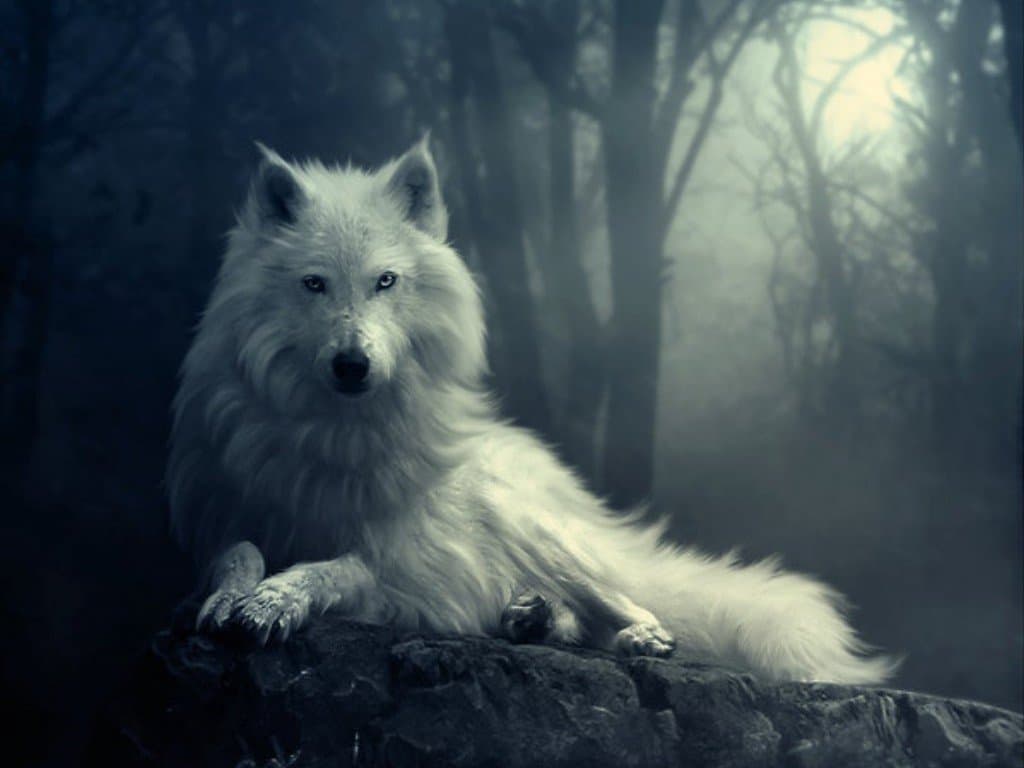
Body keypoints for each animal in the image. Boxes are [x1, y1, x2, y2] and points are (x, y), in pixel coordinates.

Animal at [167, 138, 895, 684]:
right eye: (314, 284)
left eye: (385, 282)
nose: (353, 365)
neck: (335, 434)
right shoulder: (223, 516)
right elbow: (237, 553)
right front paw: (232, 596)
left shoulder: (404, 564)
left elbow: (334, 568)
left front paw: (275, 600)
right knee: (565, 615)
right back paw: (530, 617)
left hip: (537, 531)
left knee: (633, 605)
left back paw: (634, 637)